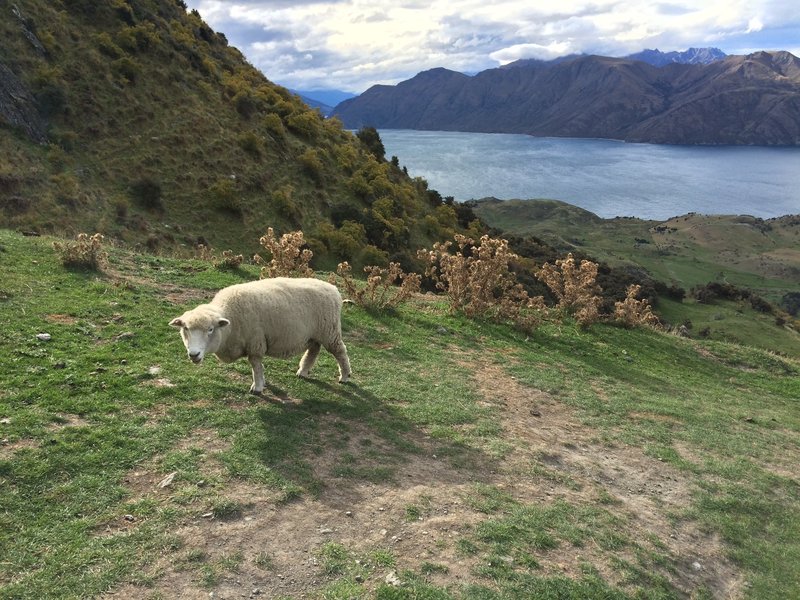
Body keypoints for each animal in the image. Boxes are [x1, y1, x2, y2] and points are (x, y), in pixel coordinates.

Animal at [169, 280, 350, 396]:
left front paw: (257, 387)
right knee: (313, 350)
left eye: (210, 329)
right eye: (186, 328)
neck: (230, 321)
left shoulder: (255, 343)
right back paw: (303, 371)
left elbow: (255, 365)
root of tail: (333, 289)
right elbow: (258, 367)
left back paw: (345, 376)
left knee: (340, 351)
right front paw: (262, 382)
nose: (194, 354)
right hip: (314, 334)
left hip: (330, 331)